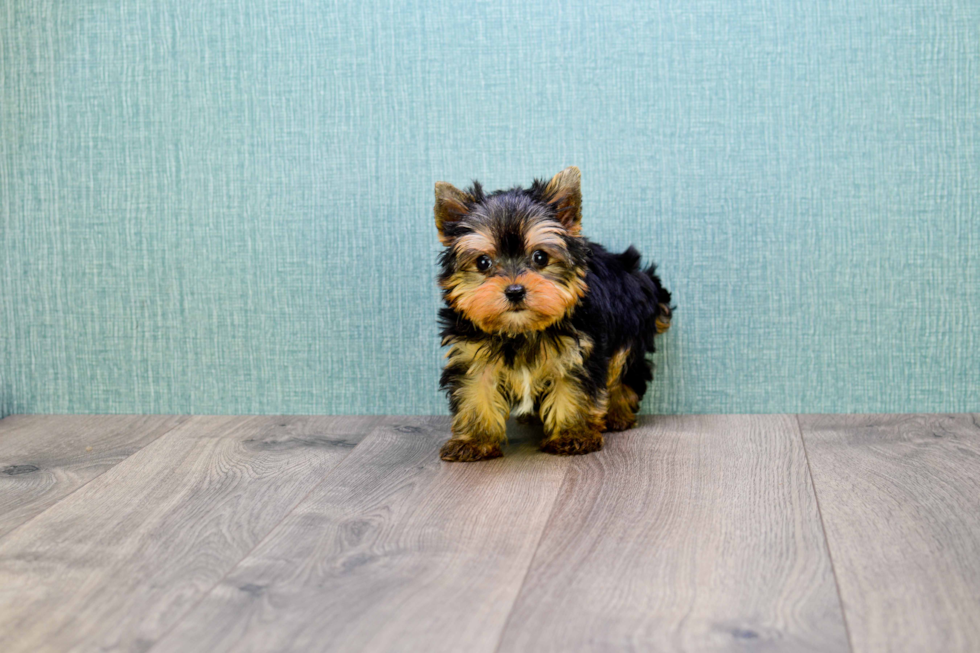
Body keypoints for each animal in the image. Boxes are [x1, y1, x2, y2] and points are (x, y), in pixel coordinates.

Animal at [432, 168, 668, 464]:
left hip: (629, 329)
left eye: (540, 257)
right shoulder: (471, 354)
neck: (520, 330)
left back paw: (618, 414)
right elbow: (475, 393)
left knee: (626, 369)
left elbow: (572, 390)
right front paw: (475, 441)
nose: (515, 291)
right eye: (483, 262)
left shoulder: (578, 352)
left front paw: (572, 435)